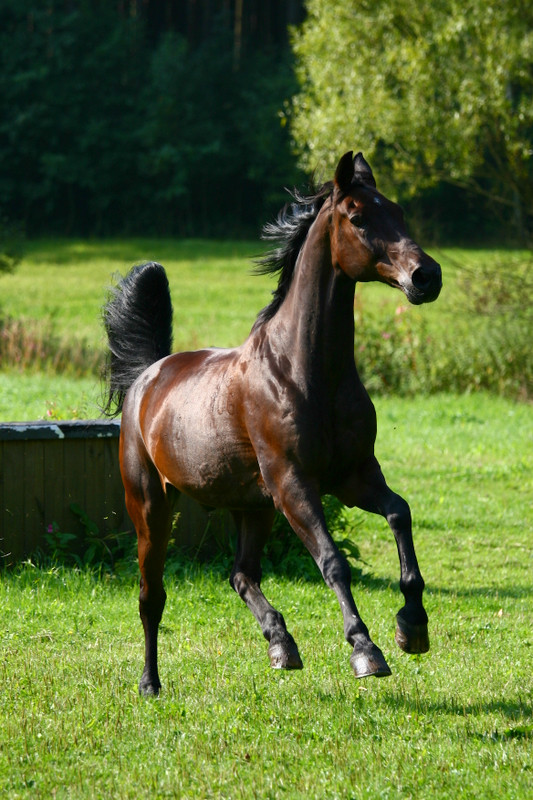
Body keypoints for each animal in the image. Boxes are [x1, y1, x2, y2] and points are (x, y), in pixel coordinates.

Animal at [103, 150, 440, 692]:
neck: (304, 371)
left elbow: (399, 513)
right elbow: (333, 561)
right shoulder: (292, 483)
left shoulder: (353, 476)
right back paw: (150, 683)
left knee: (241, 574)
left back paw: (282, 645)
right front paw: (366, 650)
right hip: (152, 507)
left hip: (253, 508)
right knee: (151, 597)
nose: (426, 276)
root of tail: (146, 377)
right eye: (358, 217)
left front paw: (412, 626)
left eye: (399, 211)